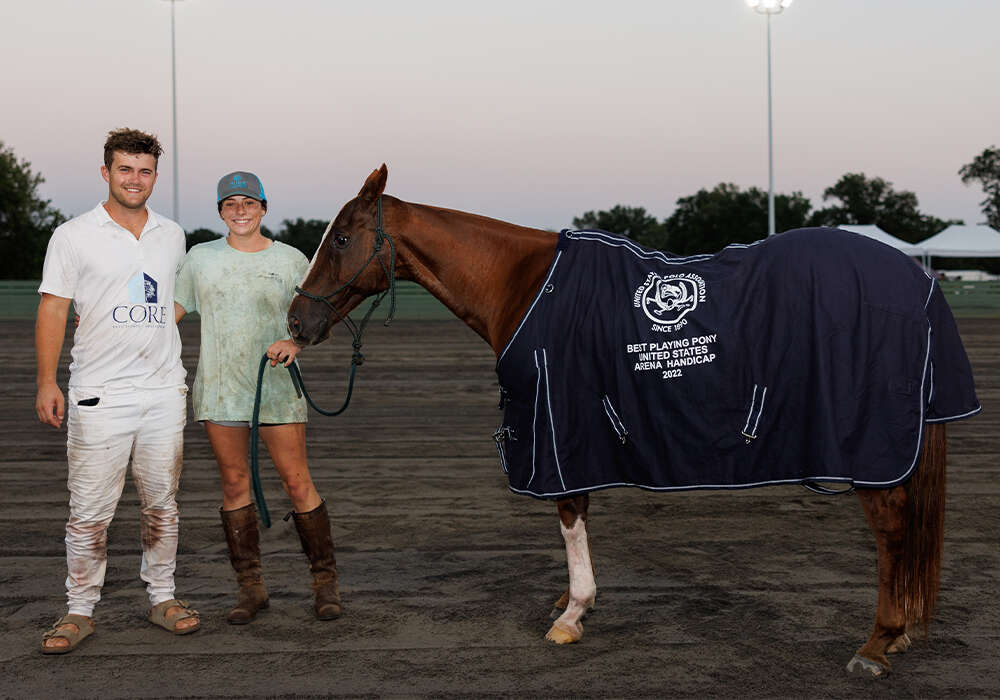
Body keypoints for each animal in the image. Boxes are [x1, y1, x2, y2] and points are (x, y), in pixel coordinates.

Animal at [286, 164, 980, 680]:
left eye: (341, 237)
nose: (297, 321)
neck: (524, 285)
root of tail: (918, 280)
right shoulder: (574, 436)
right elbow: (581, 518)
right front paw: (574, 604)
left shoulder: (557, 434)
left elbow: (570, 519)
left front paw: (572, 615)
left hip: (873, 451)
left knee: (892, 532)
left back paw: (877, 644)